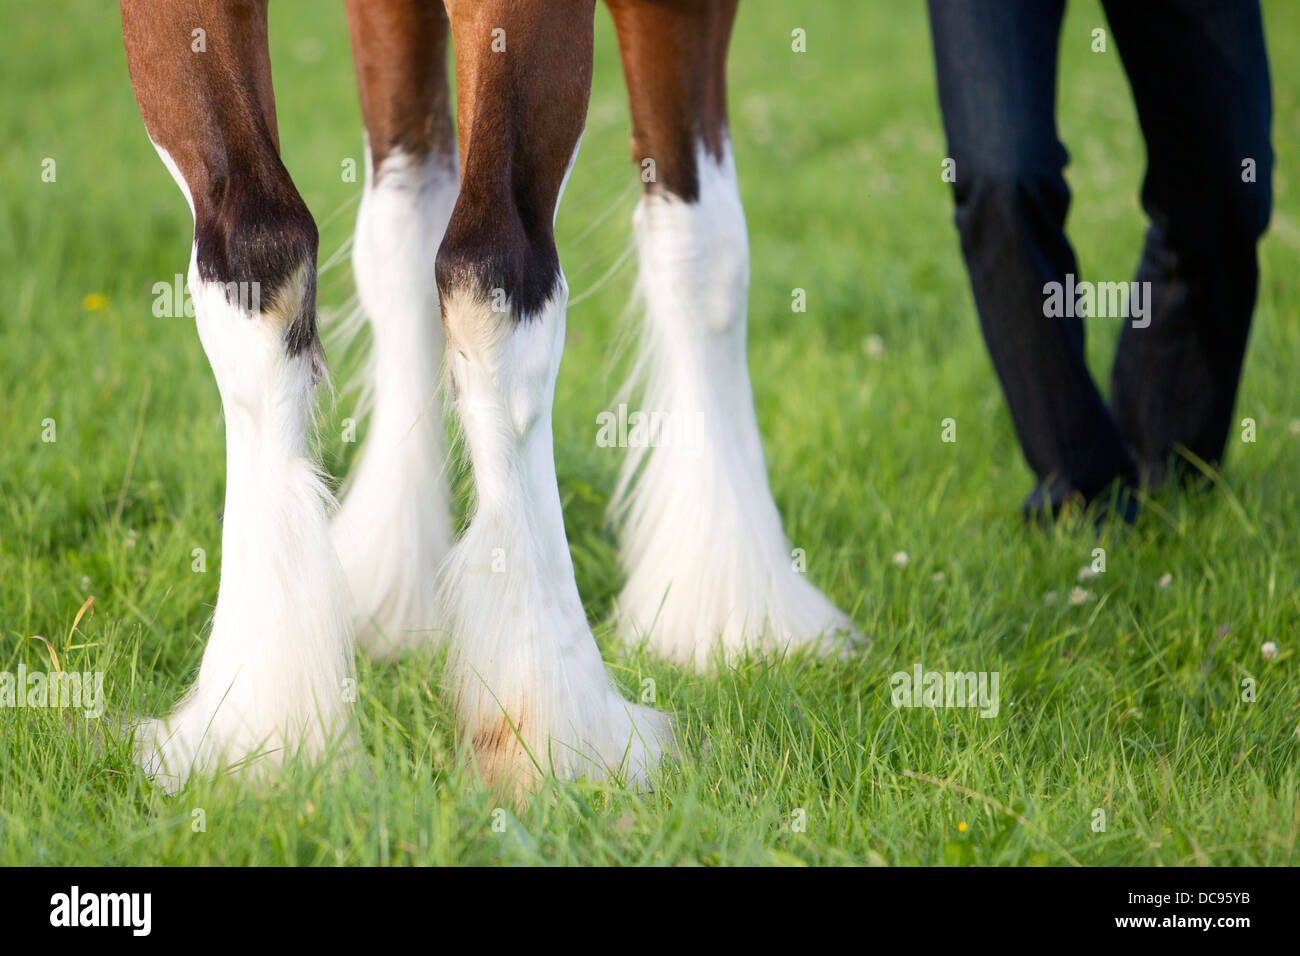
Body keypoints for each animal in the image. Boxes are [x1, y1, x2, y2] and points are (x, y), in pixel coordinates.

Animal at [119, 0, 853, 795]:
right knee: (491, 266)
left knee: (287, 254)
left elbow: (400, 229)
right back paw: (559, 722)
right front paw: (735, 606)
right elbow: (706, 245)